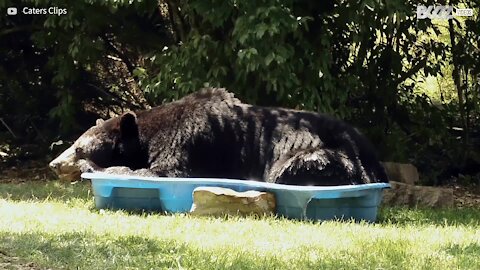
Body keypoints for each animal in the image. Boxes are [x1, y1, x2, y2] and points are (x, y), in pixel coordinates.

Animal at [48, 87, 388, 185]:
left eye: (78, 148)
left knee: (294, 166)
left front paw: (96, 168)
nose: (54, 164)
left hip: (333, 155)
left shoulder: (190, 140)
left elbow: (169, 171)